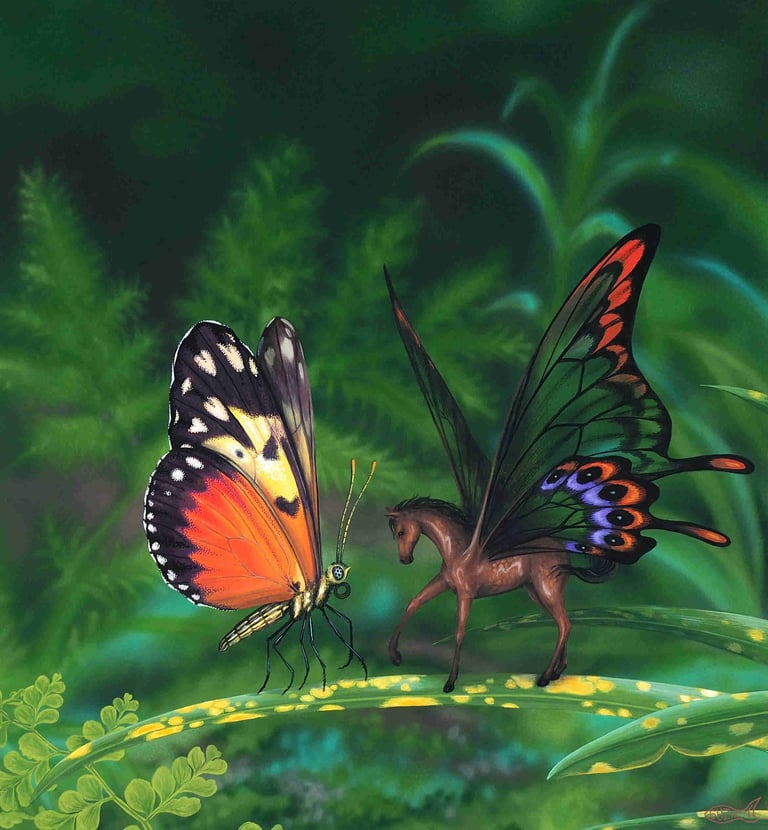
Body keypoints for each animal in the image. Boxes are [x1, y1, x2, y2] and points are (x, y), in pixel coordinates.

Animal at [386, 496, 615, 692]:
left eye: (401, 532)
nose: (405, 559)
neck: (458, 551)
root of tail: (564, 552)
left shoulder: (465, 595)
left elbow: (459, 632)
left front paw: (450, 683)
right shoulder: (443, 584)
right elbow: (414, 603)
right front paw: (395, 656)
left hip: (546, 590)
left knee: (565, 624)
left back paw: (545, 677)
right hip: (538, 593)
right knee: (562, 623)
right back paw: (557, 672)